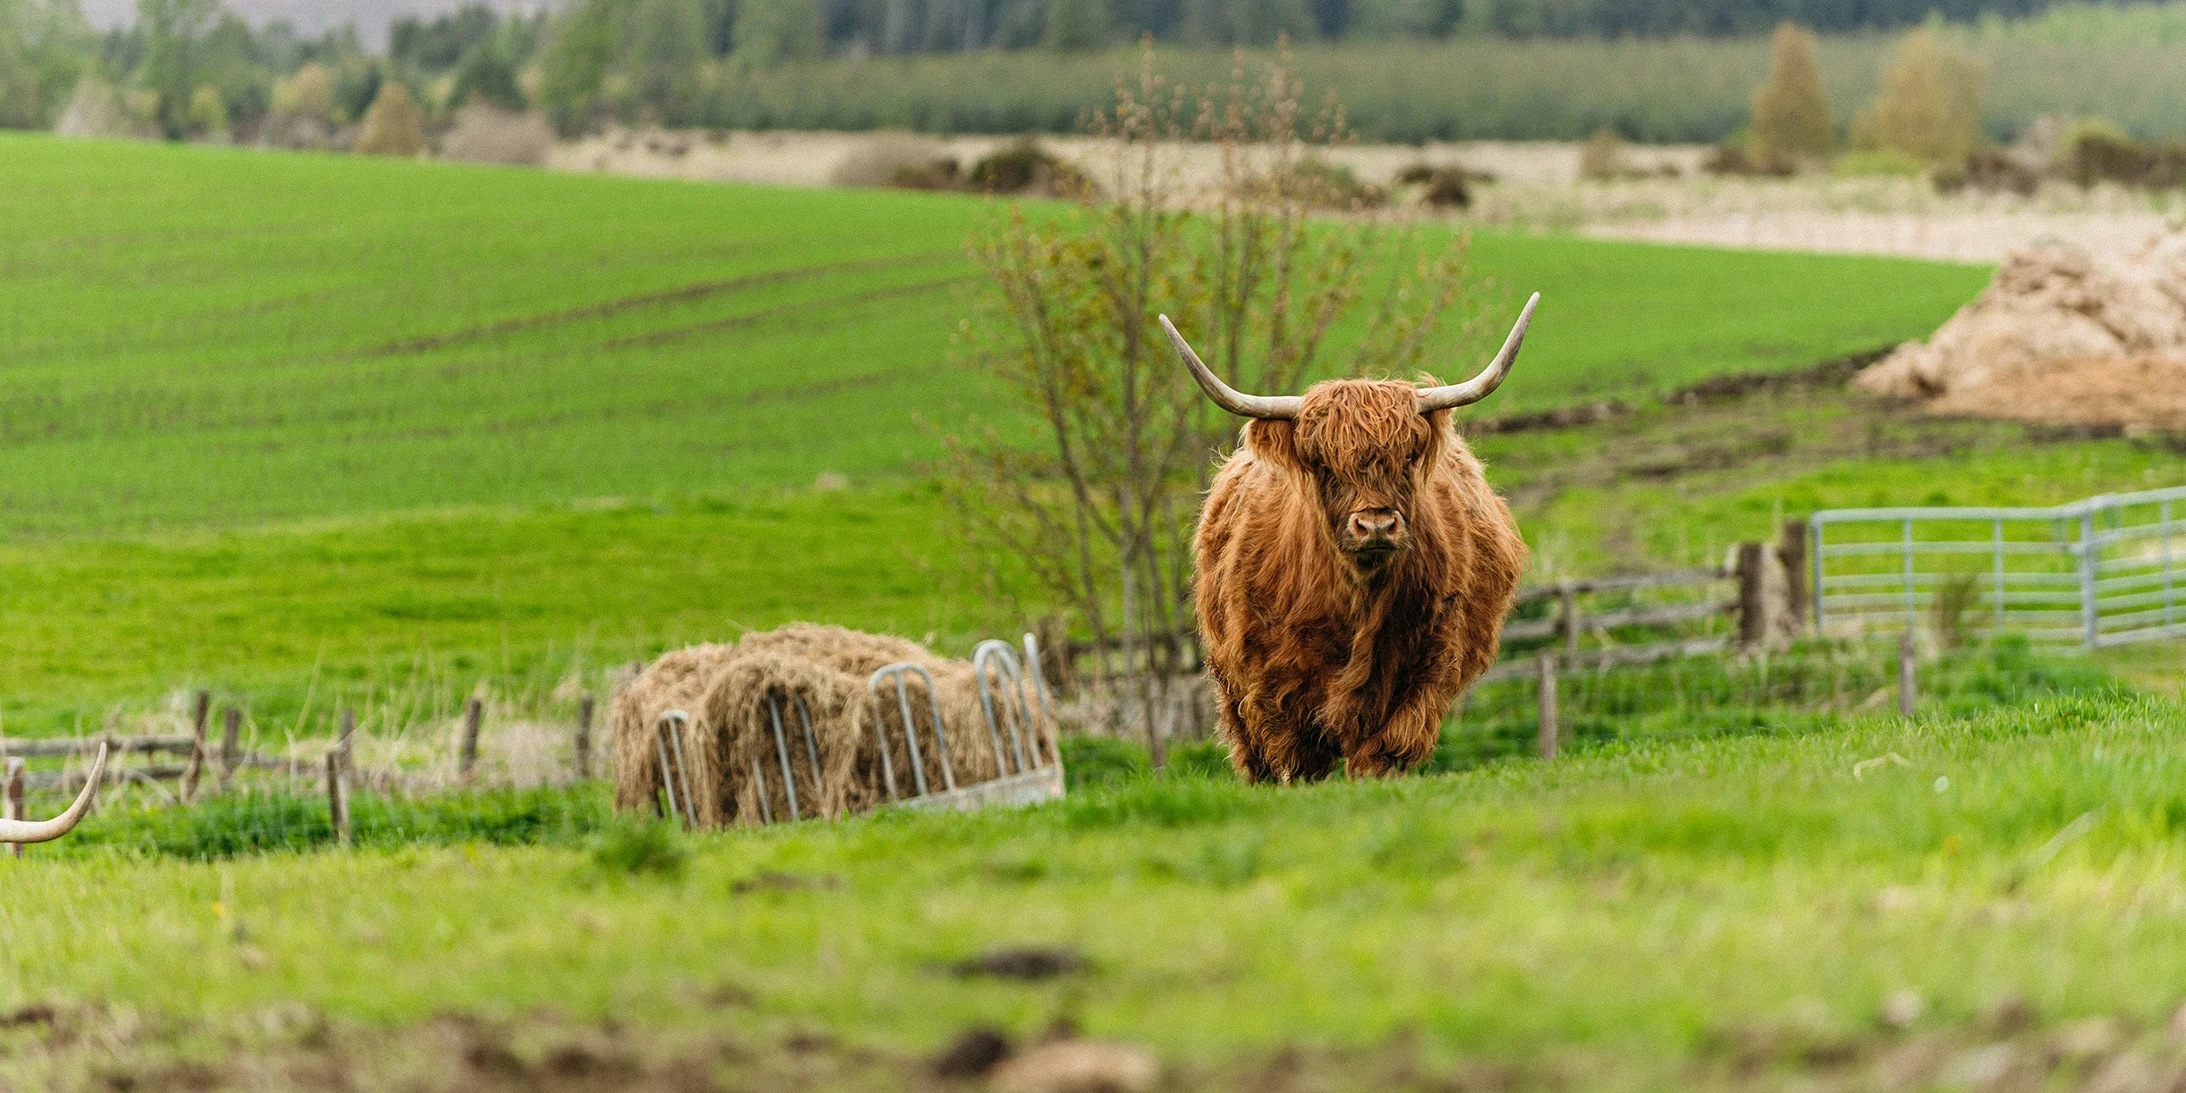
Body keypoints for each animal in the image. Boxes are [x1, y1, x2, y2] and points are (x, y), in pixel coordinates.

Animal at [1160, 296, 1538, 783]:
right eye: (1322, 463)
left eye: (1407, 457)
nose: (1375, 526)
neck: (1357, 599)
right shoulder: (1273, 684)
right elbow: (1298, 759)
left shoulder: (1422, 669)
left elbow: (1383, 751)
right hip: (1230, 683)